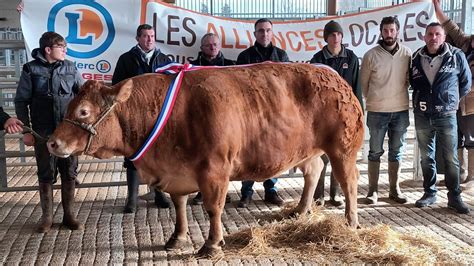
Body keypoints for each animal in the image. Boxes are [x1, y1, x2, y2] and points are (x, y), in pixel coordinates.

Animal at [47, 62, 362, 258]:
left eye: (84, 111)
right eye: (70, 105)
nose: (52, 142)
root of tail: (333, 76)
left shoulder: (214, 170)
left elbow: (213, 208)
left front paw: (212, 243)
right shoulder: (177, 173)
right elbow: (179, 205)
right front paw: (177, 237)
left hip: (343, 148)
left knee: (348, 182)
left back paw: (351, 222)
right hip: (308, 151)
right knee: (314, 171)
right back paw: (300, 210)